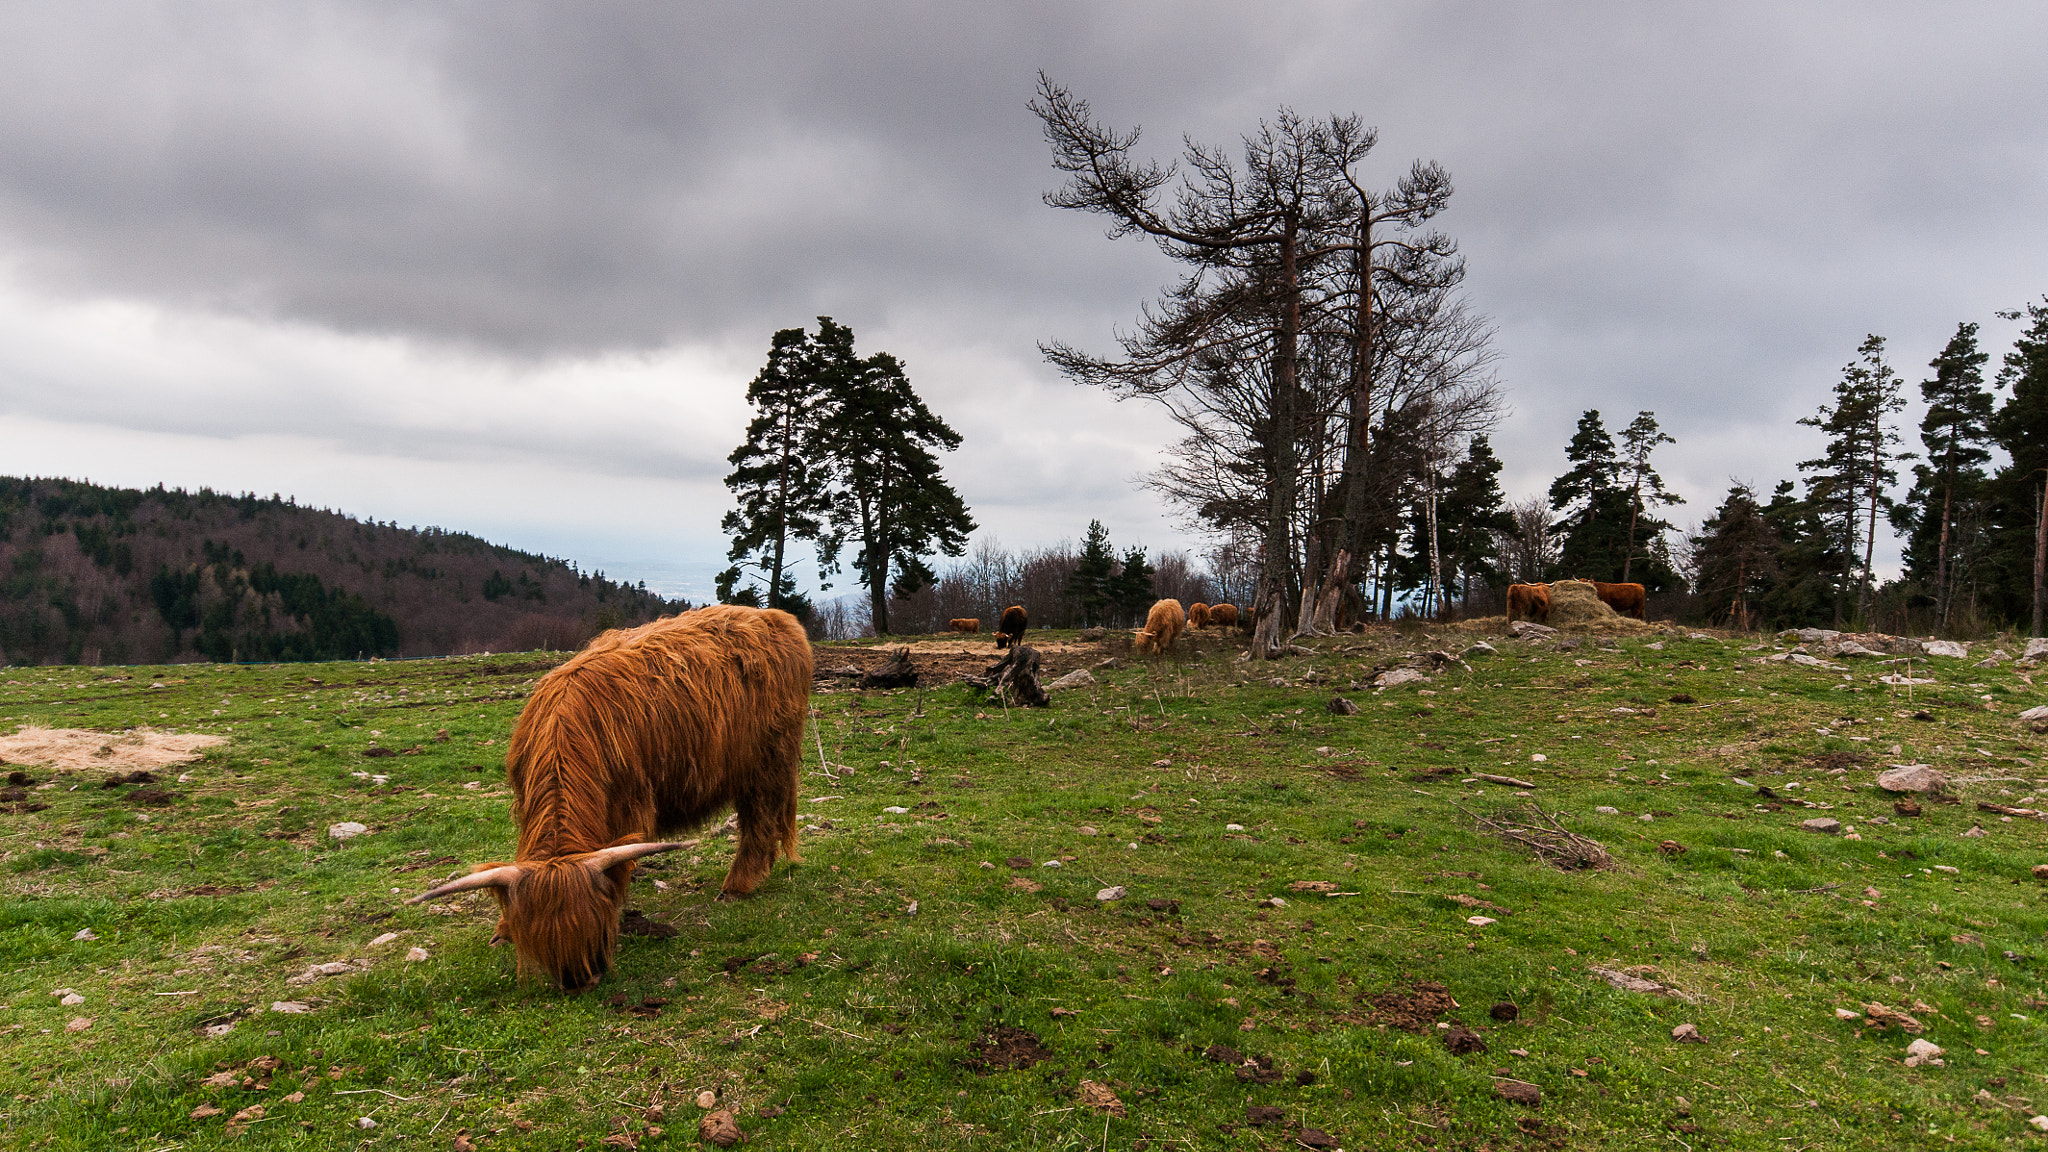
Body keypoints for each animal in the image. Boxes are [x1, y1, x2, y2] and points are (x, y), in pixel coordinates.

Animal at [405, 602, 806, 988]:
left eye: (594, 927)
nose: (580, 981)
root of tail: (775, 617)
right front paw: (503, 930)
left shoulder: (629, 806)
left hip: (767, 761)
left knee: (759, 820)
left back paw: (737, 885)